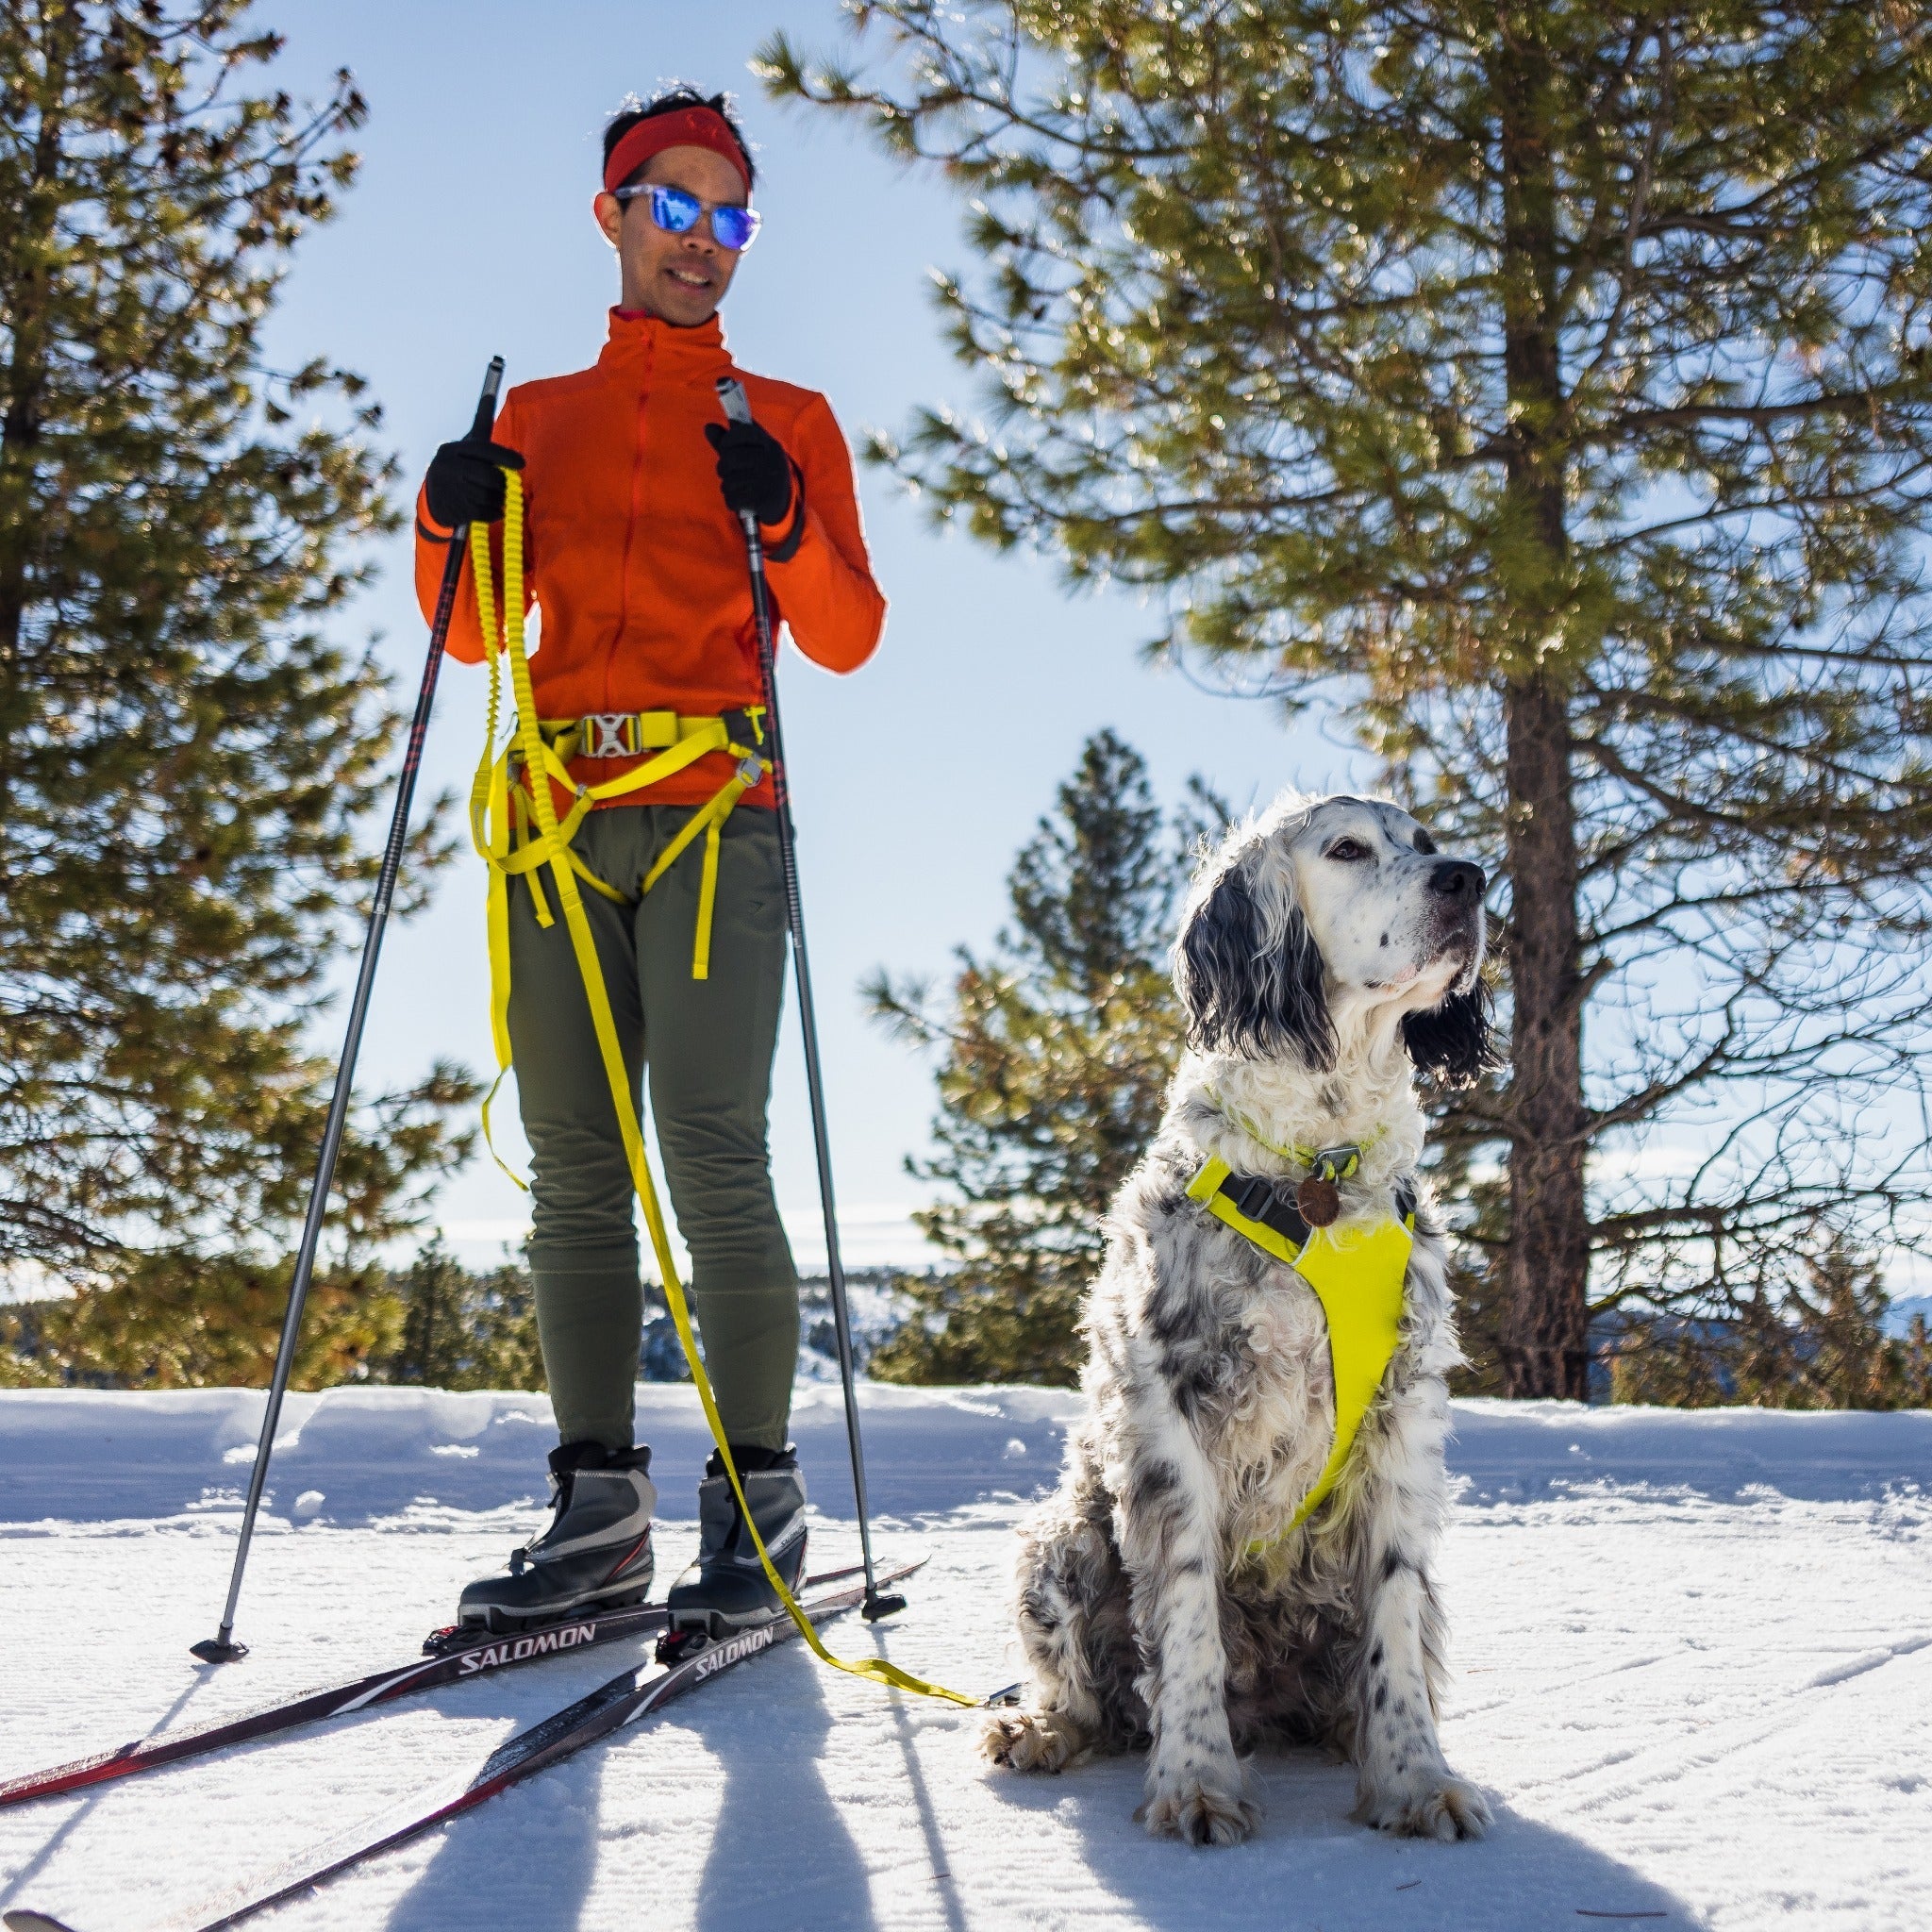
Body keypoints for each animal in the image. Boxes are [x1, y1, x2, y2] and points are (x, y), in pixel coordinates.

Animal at [981, 791, 1491, 1846]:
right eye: (1348, 848)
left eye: (1427, 843)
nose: (1468, 879)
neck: (1317, 1174)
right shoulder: (1168, 1415)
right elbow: (1182, 1618)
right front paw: (1196, 1781)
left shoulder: (1399, 1418)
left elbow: (1391, 1617)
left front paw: (1413, 1779)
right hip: (1061, 1537)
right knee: (1088, 1694)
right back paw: (1038, 1729)